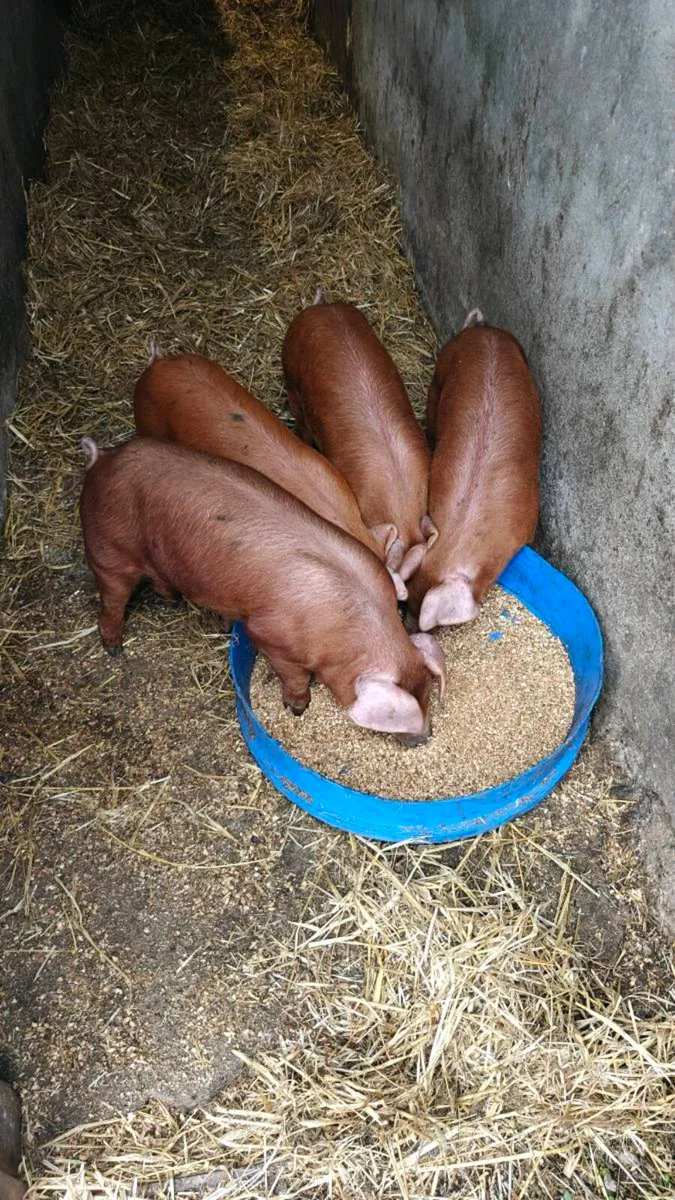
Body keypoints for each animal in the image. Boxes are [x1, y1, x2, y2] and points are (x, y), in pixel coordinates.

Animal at [79, 437, 445, 744]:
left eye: (428, 693)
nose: (424, 739)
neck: (344, 633)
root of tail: (103, 459)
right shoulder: (270, 636)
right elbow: (295, 677)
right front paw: (298, 708)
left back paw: (171, 602)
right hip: (109, 549)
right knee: (112, 597)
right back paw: (114, 648)